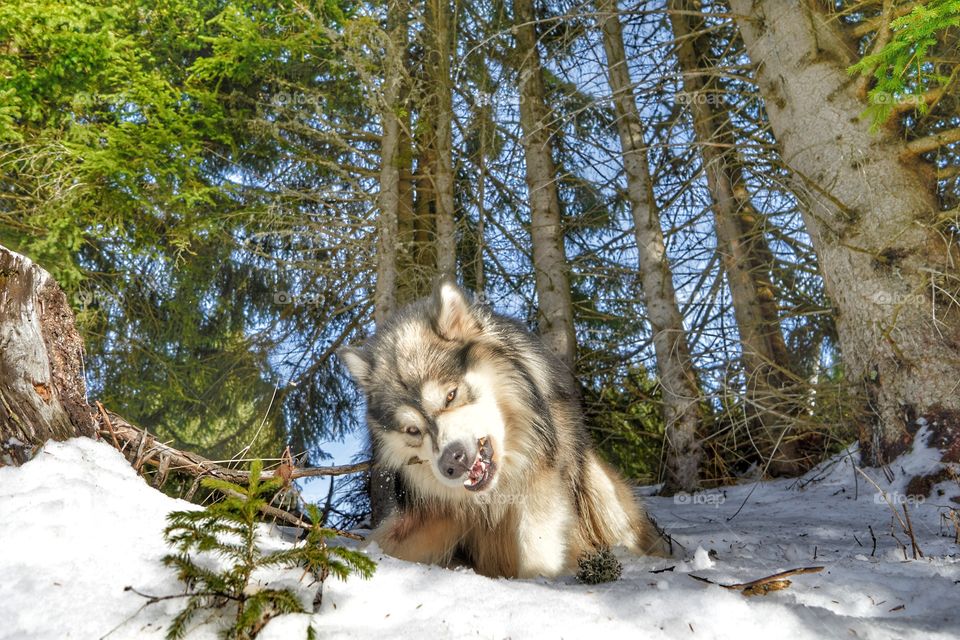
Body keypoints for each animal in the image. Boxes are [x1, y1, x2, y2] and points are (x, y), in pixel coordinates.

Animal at [338, 278, 670, 578]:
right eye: (412, 431)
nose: (452, 462)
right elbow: (380, 541)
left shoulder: (542, 487)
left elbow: (538, 548)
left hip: (600, 488)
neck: (494, 496)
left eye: (450, 396)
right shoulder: (431, 516)